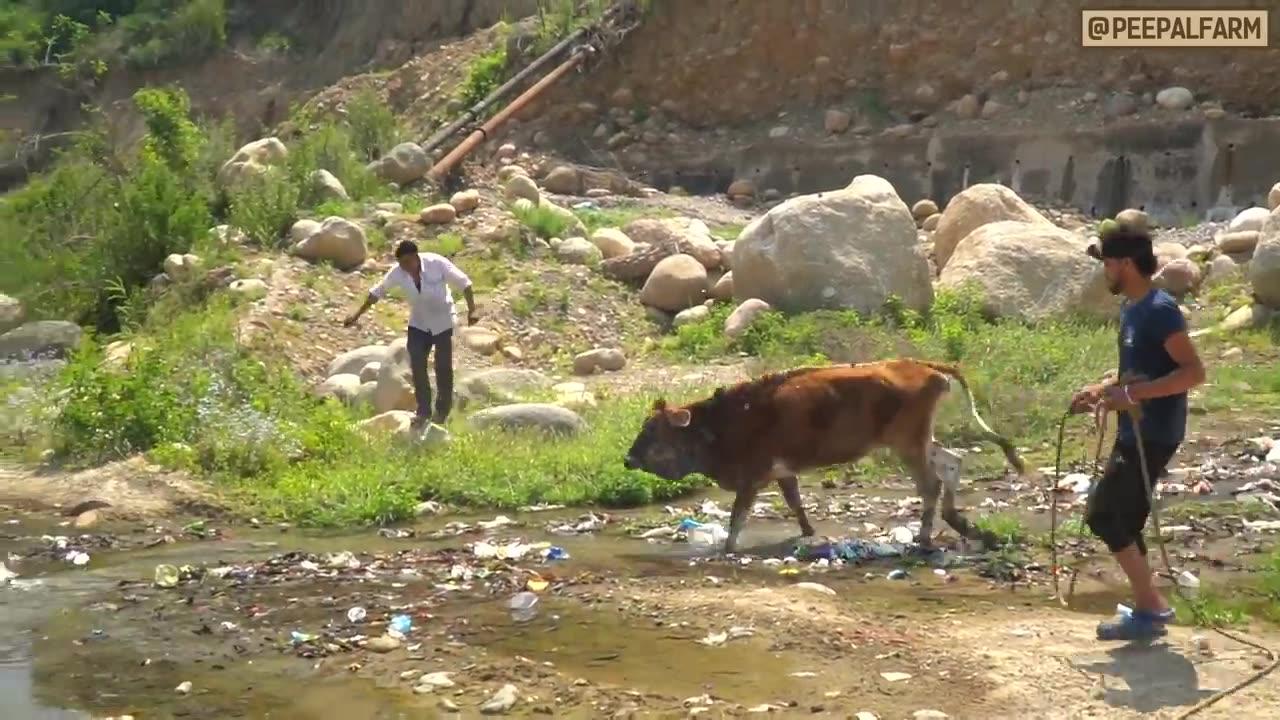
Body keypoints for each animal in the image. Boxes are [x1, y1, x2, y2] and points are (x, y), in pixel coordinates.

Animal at [622, 358, 1029, 556]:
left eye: (652, 430)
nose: (627, 459)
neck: (723, 424)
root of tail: (922, 365)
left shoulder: (752, 475)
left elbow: (738, 518)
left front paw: (727, 549)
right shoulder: (782, 470)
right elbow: (796, 503)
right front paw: (808, 534)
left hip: (908, 444)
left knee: (931, 483)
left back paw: (925, 536)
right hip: (919, 440)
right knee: (952, 462)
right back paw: (957, 521)